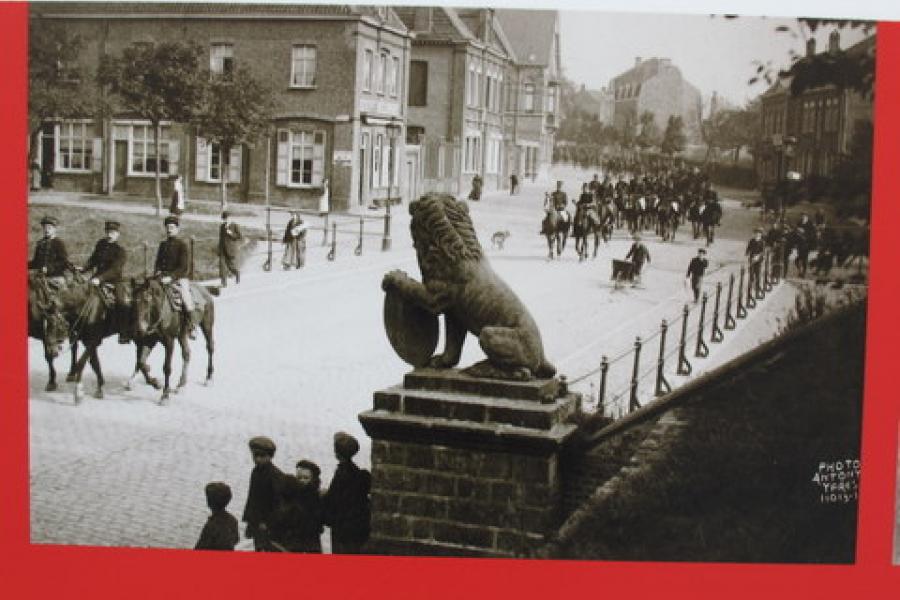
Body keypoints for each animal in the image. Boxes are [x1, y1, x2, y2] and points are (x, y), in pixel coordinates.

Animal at [132, 276, 216, 404]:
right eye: (134, 301)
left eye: (147, 300)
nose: (140, 328)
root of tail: (205, 290)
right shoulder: (149, 341)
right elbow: (141, 362)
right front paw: (155, 383)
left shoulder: (169, 342)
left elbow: (167, 367)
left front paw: (165, 396)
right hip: (182, 335)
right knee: (186, 354)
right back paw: (181, 385)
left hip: (207, 325)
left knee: (210, 347)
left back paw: (209, 378)